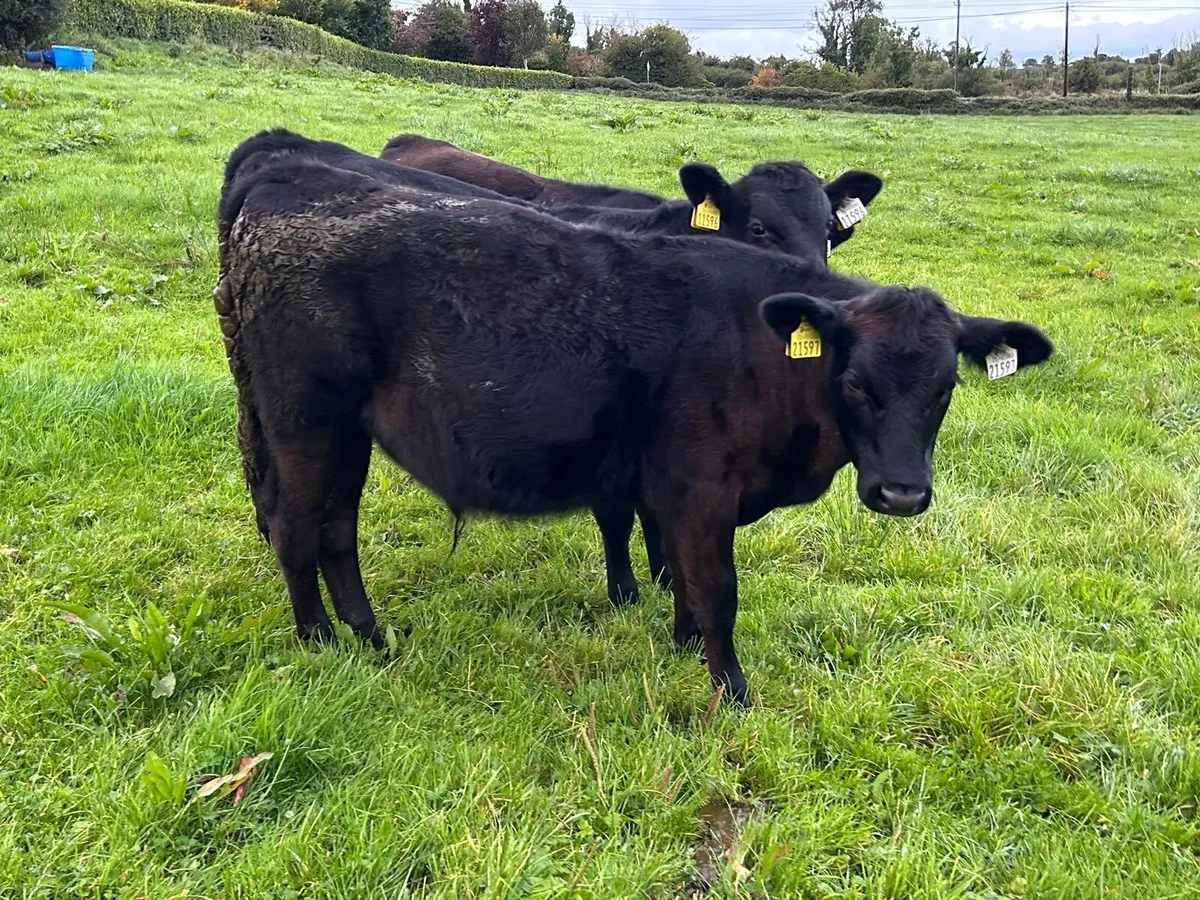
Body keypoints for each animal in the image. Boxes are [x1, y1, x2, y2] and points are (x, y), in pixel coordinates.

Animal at [215, 154, 1053, 705]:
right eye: (854, 384)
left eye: (945, 389)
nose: (902, 494)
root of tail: (288, 173)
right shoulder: (700, 486)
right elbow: (716, 588)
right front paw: (731, 690)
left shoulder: (679, 493)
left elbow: (681, 572)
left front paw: (681, 642)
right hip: (303, 421)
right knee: (296, 529)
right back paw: (320, 640)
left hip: (344, 434)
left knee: (336, 532)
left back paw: (370, 634)